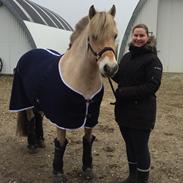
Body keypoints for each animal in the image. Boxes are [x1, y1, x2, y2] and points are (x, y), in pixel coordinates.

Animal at [9, 5, 118, 182]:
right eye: (93, 36)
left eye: (115, 35)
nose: (110, 68)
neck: (80, 78)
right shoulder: (62, 117)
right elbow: (60, 144)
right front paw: (58, 172)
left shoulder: (91, 115)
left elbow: (88, 140)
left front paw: (87, 169)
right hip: (26, 100)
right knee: (31, 117)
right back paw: (32, 145)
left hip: (39, 100)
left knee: (38, 117)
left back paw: (40, 141)